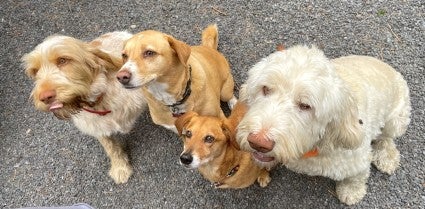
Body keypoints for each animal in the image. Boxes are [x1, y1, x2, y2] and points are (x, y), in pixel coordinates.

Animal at [22, 31, 147, 184]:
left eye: (63, 60)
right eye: (35, 71)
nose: (45, 97)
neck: (100, 100)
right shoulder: (98, 128)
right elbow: (111, 148)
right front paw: (120, 168)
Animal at [237, 45, 410, 204]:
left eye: (305, 105)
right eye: (265, 89)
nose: (258, 142)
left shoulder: (357, 161)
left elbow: (356, 178)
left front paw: (351, 191)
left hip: (396, 119)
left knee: (386, 137)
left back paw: (387, 156)